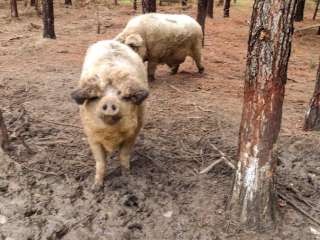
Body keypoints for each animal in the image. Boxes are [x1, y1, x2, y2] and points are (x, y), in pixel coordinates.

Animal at [70, 40, 148, 190]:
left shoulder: (133, 133)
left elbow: (124, 155)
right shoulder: (92, 136)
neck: (111, 136)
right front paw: (96, 187)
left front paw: (127, 176)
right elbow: (101, 161)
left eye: (124, 96)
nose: (110, 102)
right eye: (96, 97)